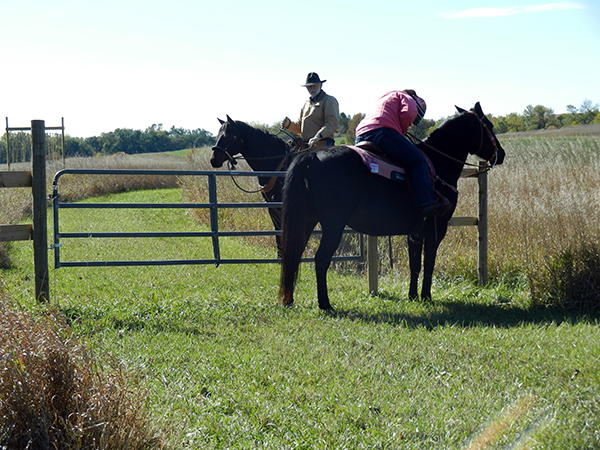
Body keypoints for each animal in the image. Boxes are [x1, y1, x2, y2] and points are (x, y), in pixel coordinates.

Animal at [278, 103, 504, 312]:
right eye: (489, 125)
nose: (501, 154)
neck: (437, 166)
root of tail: (312, 157)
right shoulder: (436, 228)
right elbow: (429, 263)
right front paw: (427, 297)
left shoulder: (415, 232)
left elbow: (415, 264)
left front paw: (413, 296)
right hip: (333, 225)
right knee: (321, 259)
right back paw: (325, 304)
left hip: (307, 220)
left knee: (294, 254)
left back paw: (290, 299)